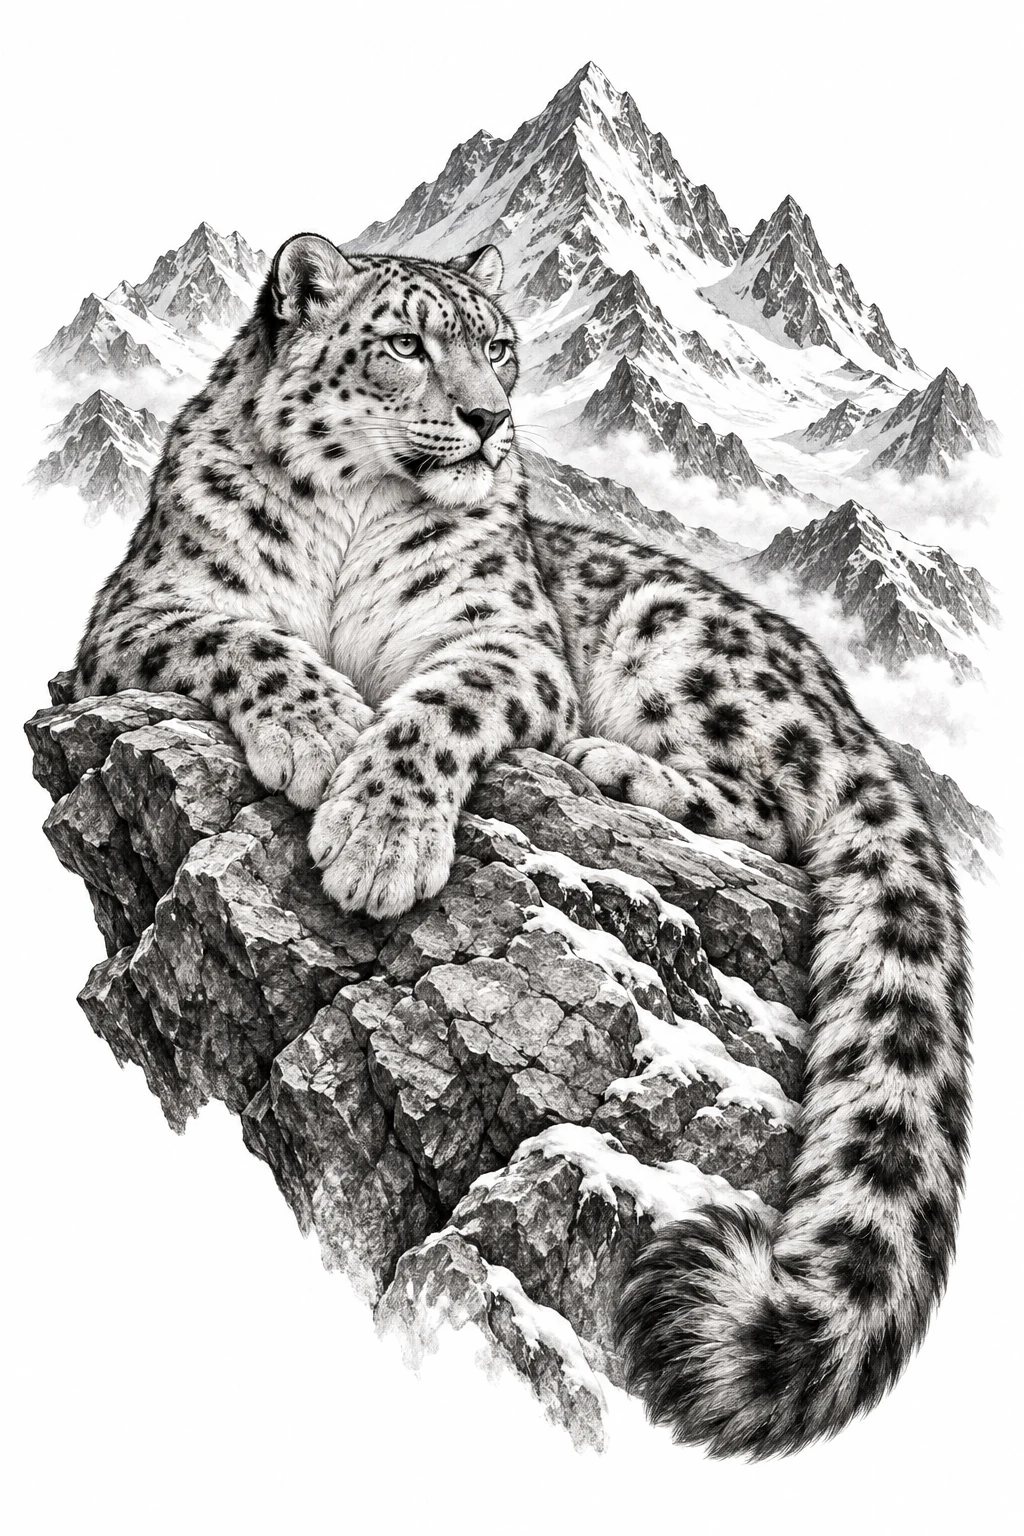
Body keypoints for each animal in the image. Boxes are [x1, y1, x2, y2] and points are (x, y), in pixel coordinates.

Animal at [74, 232, 971, 1459]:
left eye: (498, 345)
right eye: (405, 343)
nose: (490, 418)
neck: (355, 513)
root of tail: (850, 711)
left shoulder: (508, 642)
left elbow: (437, 707)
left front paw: (376, 836)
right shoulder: (138, 609)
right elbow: (240, 637)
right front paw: (319, 730)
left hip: (678, 655)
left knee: (776, 808)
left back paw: (611, 766)